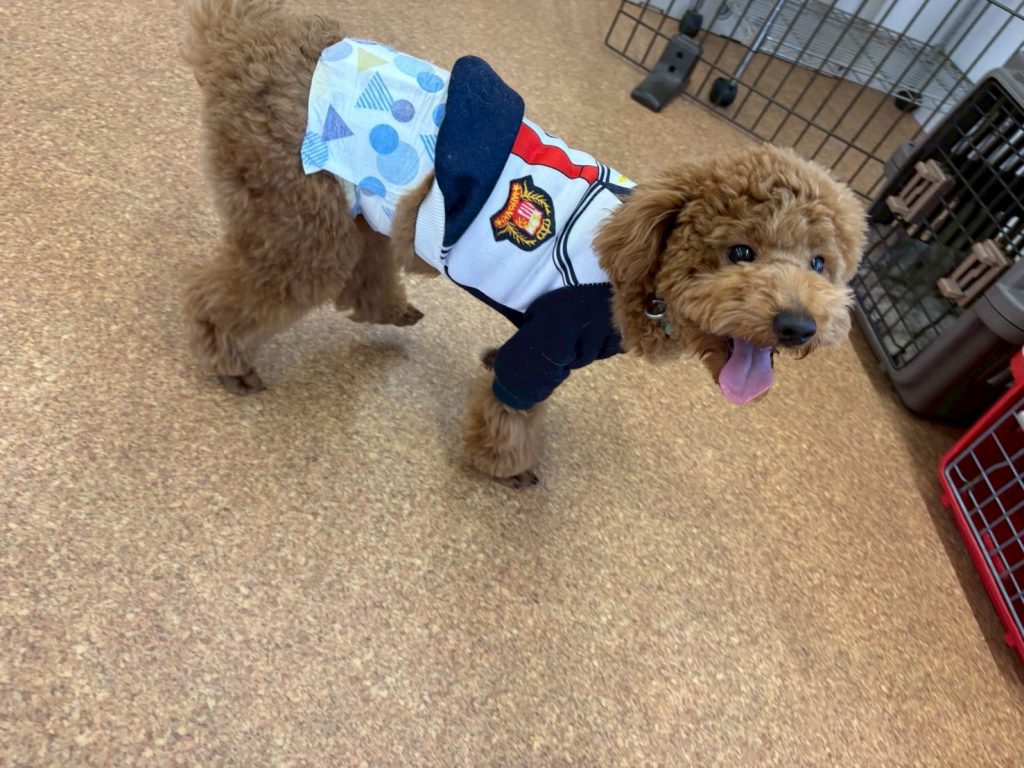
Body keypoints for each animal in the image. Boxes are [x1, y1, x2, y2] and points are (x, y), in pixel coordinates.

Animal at [182, 0, 866, 487]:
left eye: (820, 264)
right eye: (741, 253)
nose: (799, 326)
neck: (637, 273)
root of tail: (242, 42)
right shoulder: (549, 342)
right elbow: (511, 408)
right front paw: (506, 468)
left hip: (354, 207)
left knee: (362, 266)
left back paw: (389, 308)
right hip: (298, 215)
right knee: (236, 295)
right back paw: (227, 358)